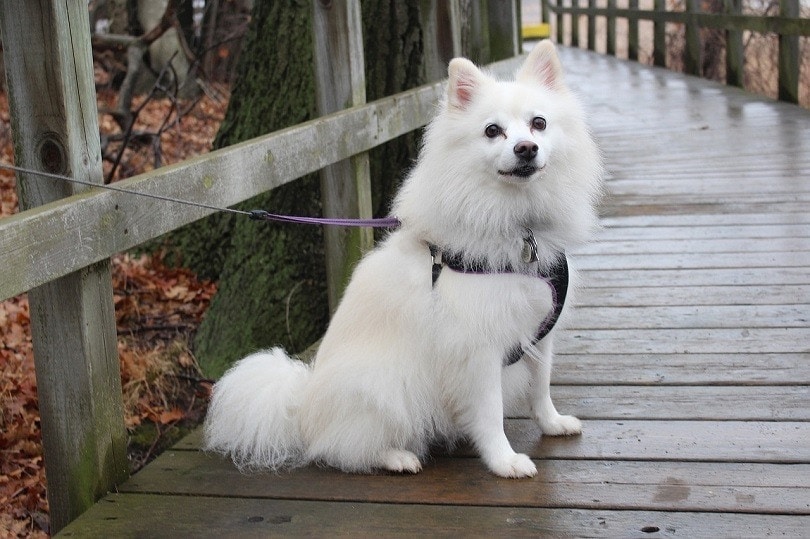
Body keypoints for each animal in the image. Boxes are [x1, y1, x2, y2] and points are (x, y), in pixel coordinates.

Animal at [205, 43, 604, 480]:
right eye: (492, 130)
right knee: (342, 449)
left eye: (539, 124)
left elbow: (541, 387)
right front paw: (504, 461)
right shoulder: (477, 349)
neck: (517, 224)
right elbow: (490, 413)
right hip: (384, 385)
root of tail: (301, 407)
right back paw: (397, 457)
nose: (526, 148)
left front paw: (552, 424)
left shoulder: (539, 331)